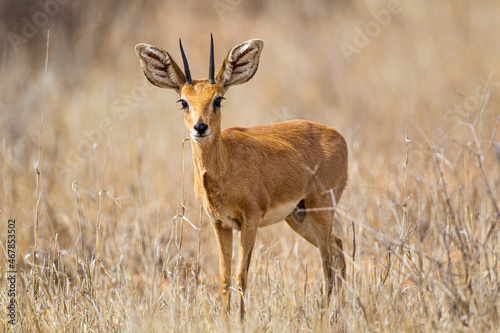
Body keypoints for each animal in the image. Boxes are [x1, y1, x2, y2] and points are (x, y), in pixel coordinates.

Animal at [136, 35, 348, 318]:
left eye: (218, 99)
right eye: (183, 101)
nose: (200, 127)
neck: (225, 163)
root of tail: (338, 136)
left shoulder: (250, 220)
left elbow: (241, 277)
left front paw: (240, 320)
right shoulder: (220, 223)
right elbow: (225, 278)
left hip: (321, 210)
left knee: (327, 262)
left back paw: (325, 315)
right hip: (298, 217)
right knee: (338, 250)